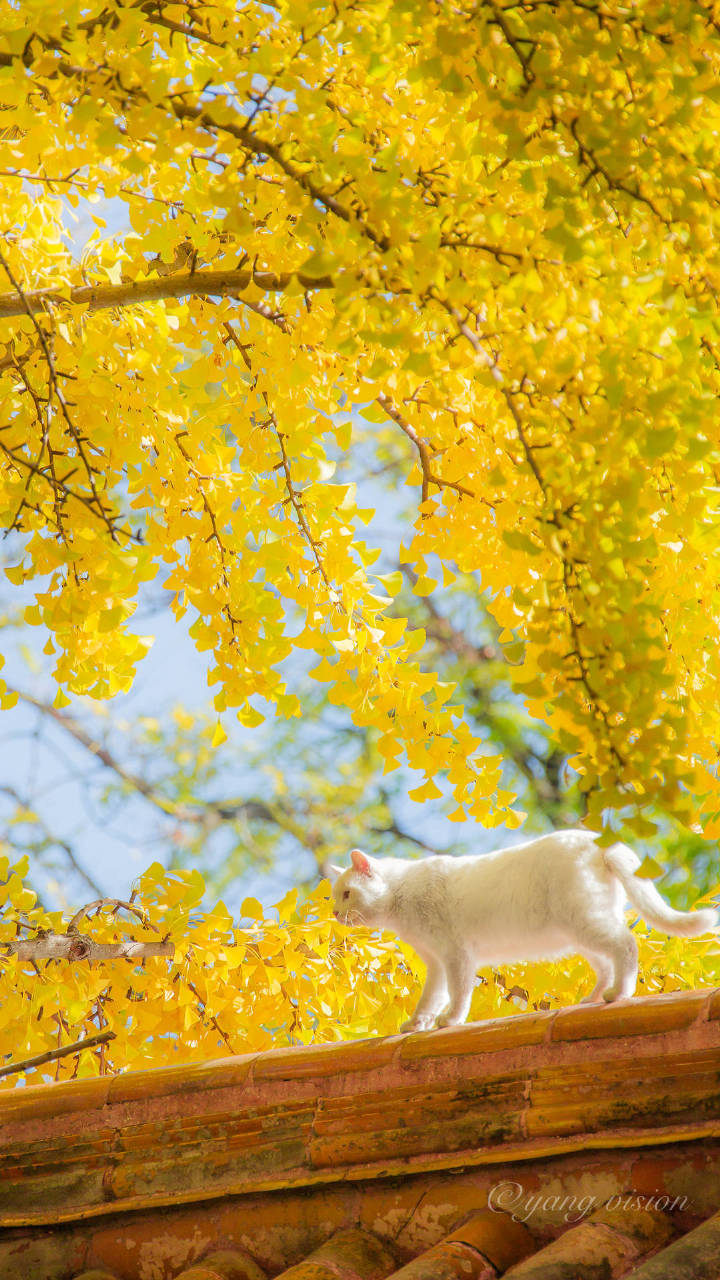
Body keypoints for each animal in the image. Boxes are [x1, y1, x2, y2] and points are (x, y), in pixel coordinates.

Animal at [327, 829, 712, 1029]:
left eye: (347, 894)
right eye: (335, 896)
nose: (334, 912)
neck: (401, 896)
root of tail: (595, 837)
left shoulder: (456, 956)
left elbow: (457, 994)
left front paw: (451, 1020)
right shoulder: (435, 962)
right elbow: (430, 998)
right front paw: (417, 1025)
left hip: (586, 922)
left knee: (627, 946)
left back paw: (619, 994)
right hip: (580, 932)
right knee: (607, 963)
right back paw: (592, 998)